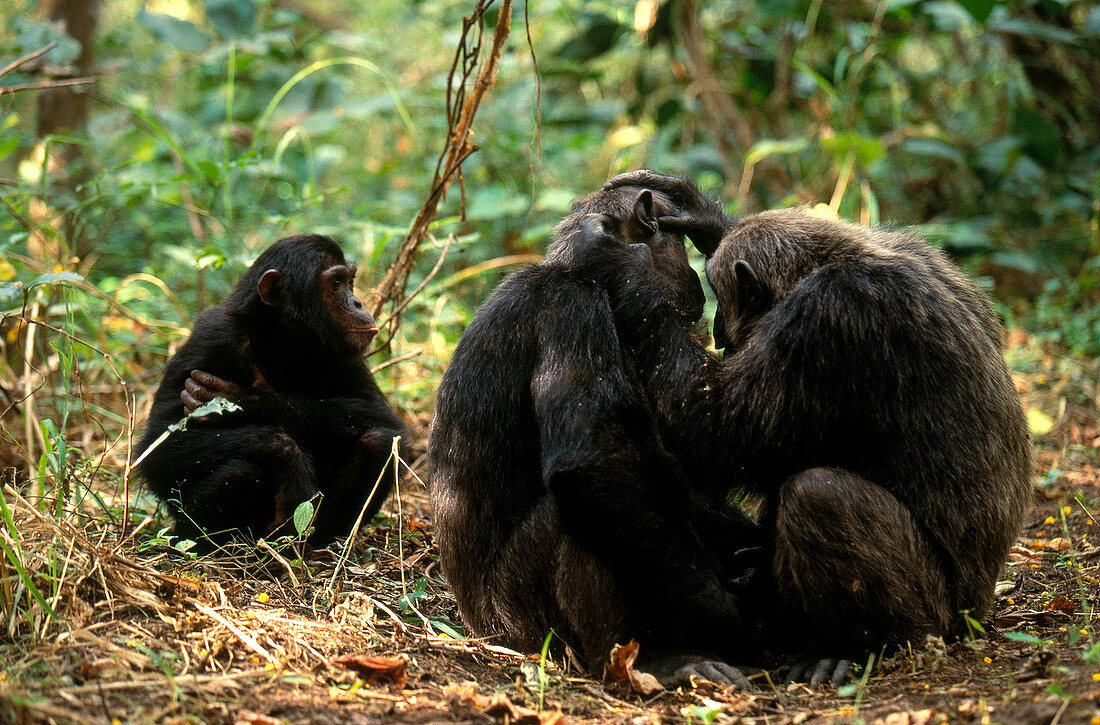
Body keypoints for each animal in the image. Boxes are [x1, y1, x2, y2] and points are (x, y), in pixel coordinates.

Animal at [137, 235, 404, 547]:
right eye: (336, 283)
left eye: (350, 281)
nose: (357, 302)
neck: (283, 337)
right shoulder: (213, 335)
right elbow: (157, 446)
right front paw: (289, 461)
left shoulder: (345, 352)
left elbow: (383, 416)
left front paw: (248, 401)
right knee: (241, 472)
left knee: (380, 442)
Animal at [426, 184, 765, 690]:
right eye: (677, 246)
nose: (693, 279)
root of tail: (480, 630)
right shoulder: (573, 309)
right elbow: (598, 455)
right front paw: (720, 614)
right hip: (521, 619)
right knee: (586, 510)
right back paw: (645, 661)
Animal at [594, 171, 1029, 686]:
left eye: (723, 296)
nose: (718, 330)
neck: (829, 263)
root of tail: (981, 614)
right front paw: (700, 214)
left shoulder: (827, 316)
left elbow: (721, 434)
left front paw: (627, 270)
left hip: (941, 617)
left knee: (821, 495)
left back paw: (852, 647)